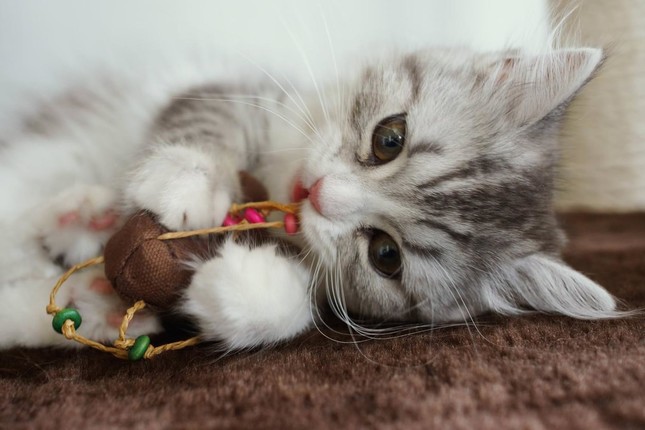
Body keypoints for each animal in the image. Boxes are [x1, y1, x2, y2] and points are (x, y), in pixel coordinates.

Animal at [0, 47, 620, 350]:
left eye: (386, 255)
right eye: (389, 138)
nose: (317, 193)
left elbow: (296, 302)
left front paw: (238, 291)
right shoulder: (237, 92)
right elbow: (209, 121)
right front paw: (187, 179)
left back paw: (94, 296)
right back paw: (81, 221)